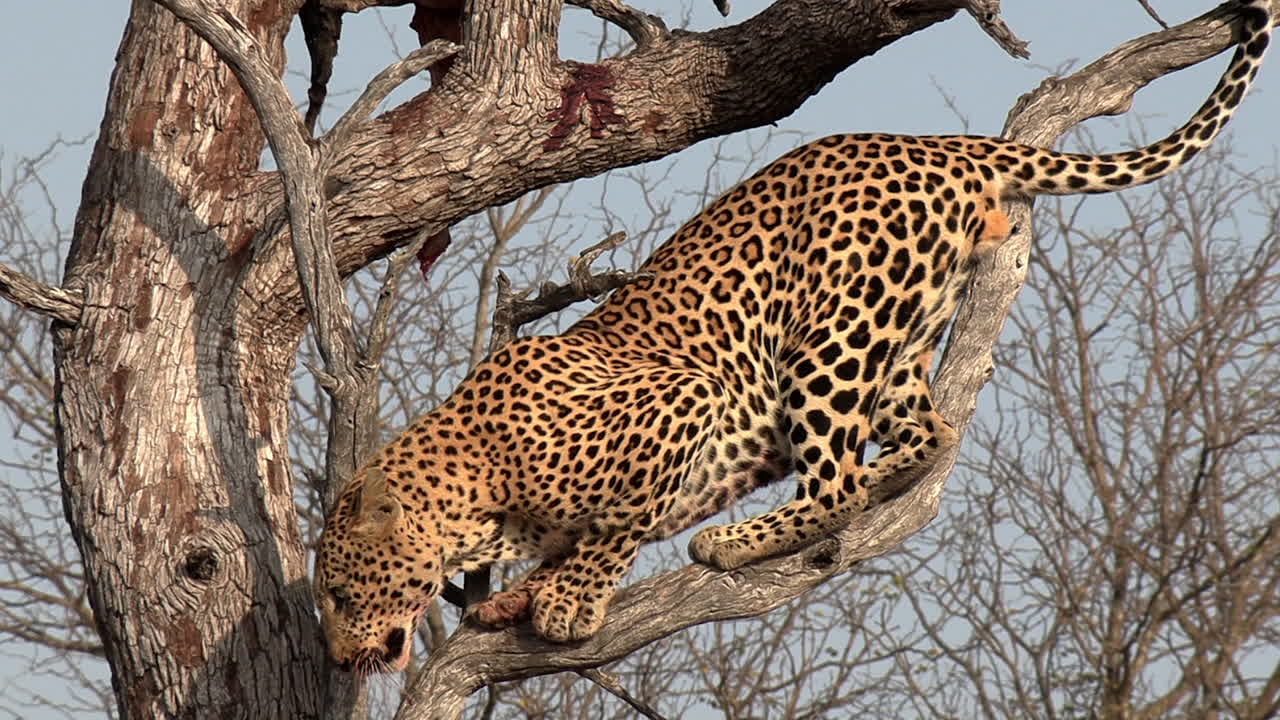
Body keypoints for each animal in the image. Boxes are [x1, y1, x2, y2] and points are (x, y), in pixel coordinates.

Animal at [314, 1, 1271, 673]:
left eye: (340, 591)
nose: (338, 655)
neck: (476, 494)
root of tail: (942, 146)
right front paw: (519, 597)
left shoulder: (682, 398)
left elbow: (619, 523)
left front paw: (566, 603)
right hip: (897, 336)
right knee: (929, 437)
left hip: (828, 340)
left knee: (839, 479)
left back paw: (737, 540)